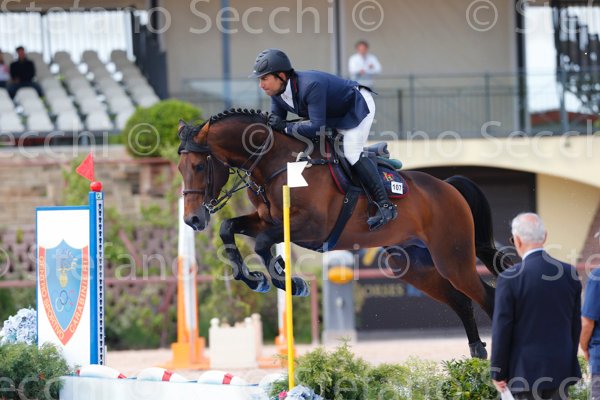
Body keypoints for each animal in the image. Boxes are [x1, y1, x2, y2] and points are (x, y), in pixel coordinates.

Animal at [177, 108, 512, 359]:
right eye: (179, 168)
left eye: (198, 166)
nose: (193, 219)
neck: (276, 162)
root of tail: (448, 187)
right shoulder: (266, 220)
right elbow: (228, 229)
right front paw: (256, 279)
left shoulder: (310, 226)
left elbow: (261, 243)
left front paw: (290, 281)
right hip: (414, 267)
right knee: (461, 300)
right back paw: (477, 351)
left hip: (452, 258)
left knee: (486, 295)